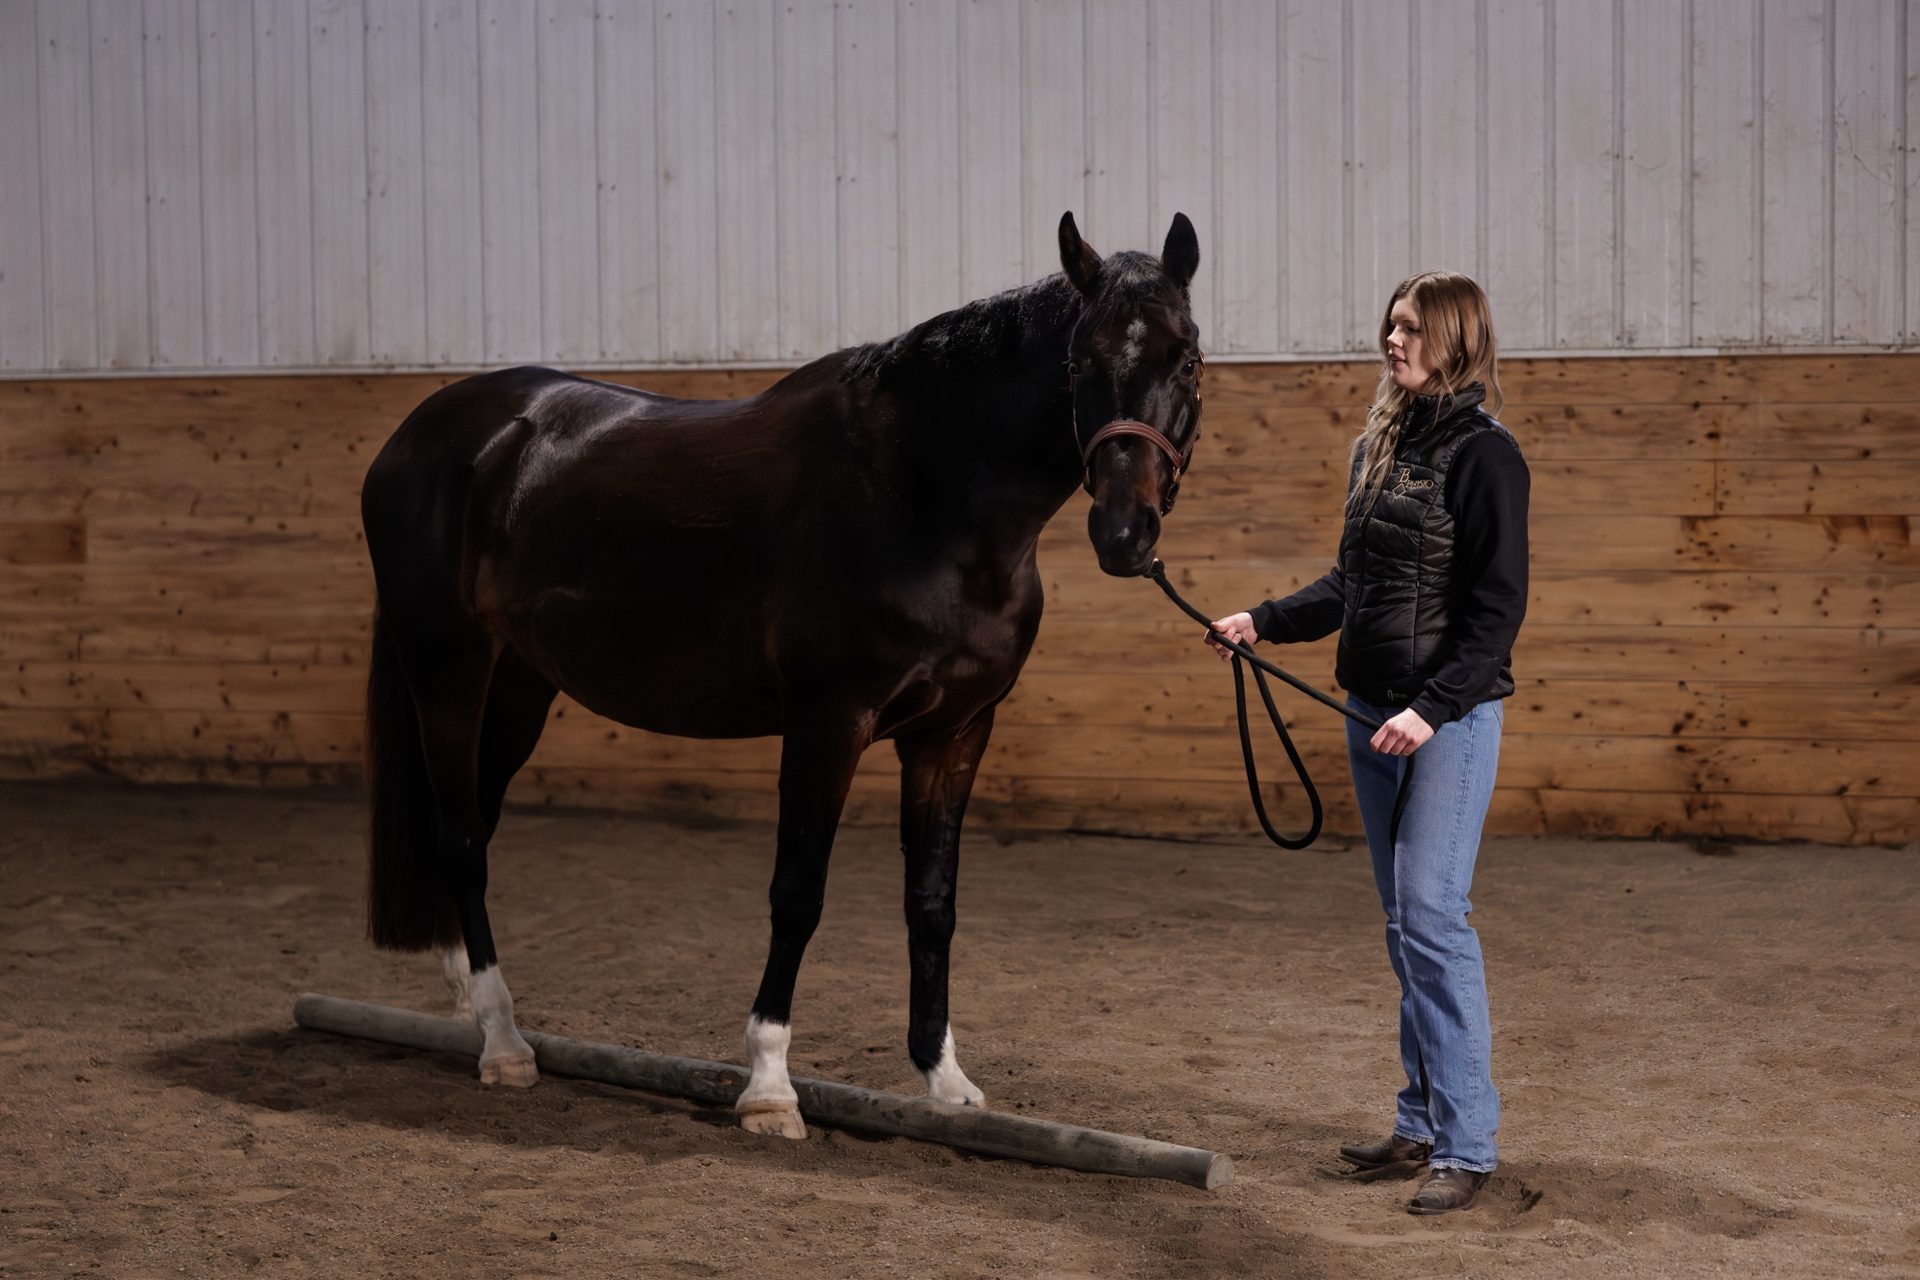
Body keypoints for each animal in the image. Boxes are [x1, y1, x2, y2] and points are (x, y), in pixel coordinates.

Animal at [360, 212, 1204, 1139]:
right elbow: (798, 893)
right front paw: (768, 1085)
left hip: (517, 687)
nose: (1124, 532)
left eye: (1187, 358)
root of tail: (428, 434)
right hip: (448, 670)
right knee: (462, 838)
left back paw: (469, 1003)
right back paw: (504, 1042)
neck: (923, 496)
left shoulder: (953, 733)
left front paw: (944, 1079)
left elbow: (932, 903)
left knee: (468, 822)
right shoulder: (828, 723)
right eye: (1079, 363)